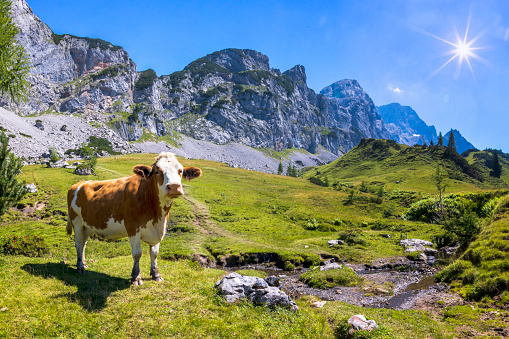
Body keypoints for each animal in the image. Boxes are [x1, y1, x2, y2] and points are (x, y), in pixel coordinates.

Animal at [66, 153, 201, 286]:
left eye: (180, 171)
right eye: (157, 171)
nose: (173, 186)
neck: (157, 214)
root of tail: (80, 183)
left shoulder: (157, 229)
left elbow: (155, 253)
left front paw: (156, 275)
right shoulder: (133, 227)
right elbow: (137, 253)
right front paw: (136, 277)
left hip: (87, 226)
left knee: (84, 244)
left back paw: (84, 263)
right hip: (77, 222)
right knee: (78, 243)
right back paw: (80, 267)